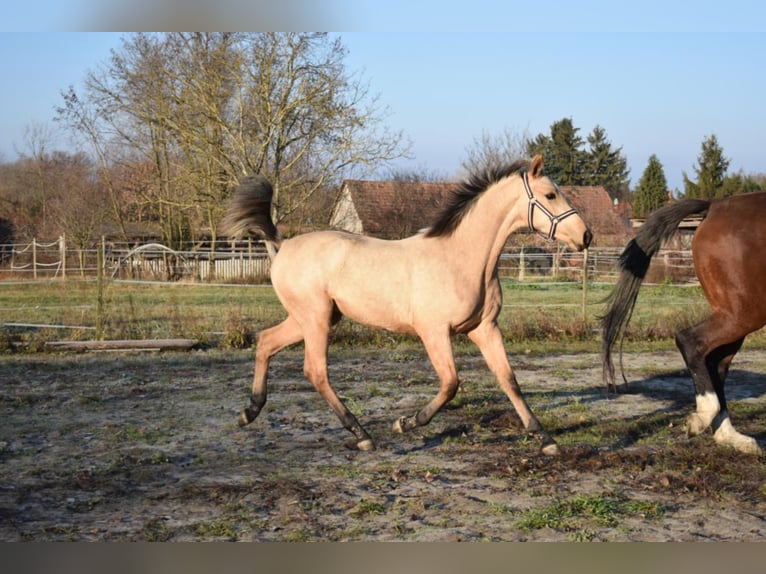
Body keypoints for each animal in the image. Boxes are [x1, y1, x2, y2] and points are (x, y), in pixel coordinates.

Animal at [222, 155, 592, 456]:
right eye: (550, 195)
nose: (586, 236)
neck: (462, 258)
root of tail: (282, 246)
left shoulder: (485, 329)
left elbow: (509, 379)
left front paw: (546, 440)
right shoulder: (434, 332)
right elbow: (451, 383)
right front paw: (406, 423)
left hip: (311, 319)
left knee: (266, 342)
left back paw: (249, 412)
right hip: (315, 319)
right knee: (315, 371)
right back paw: (362, 435)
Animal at [604, 192, 766, 454]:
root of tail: (714, 207)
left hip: (735, 315)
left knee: (715, 363)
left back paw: (730, 436)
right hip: (744, 313)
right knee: (691, 342)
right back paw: (702, 419)